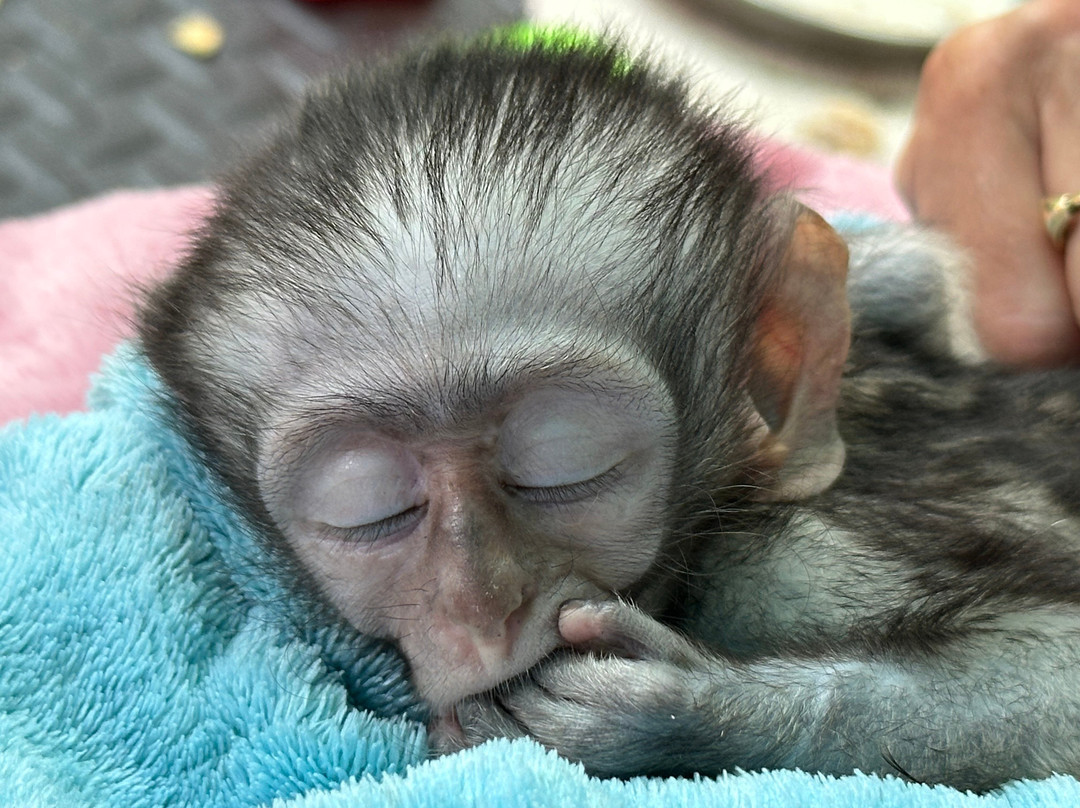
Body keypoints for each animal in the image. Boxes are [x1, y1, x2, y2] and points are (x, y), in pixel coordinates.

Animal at [137, 31, 1080, 793]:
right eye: (372, 510)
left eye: (562, 466)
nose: (479, 608)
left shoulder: (795, 562)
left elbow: (1058, 670)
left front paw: (676, 712)